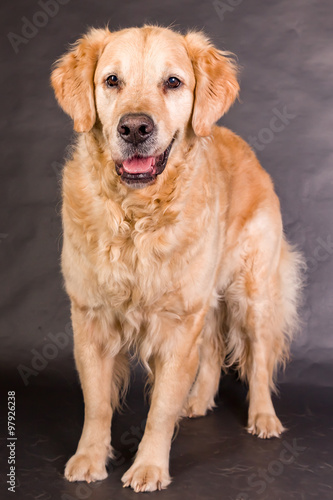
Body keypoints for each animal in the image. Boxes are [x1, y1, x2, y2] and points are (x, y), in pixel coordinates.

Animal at [50, 24, 302, 492]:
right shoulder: (90, 318)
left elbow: (160, 410)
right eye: (112, 80)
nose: (134, 127)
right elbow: (97, 402)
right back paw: (198, 400)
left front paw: (149, 467)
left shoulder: (178, 323)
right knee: (213, 350)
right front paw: (89, 459)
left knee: (259, 360)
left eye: (172, 82)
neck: (137, 218)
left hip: (254, 294)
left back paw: (263, 417)